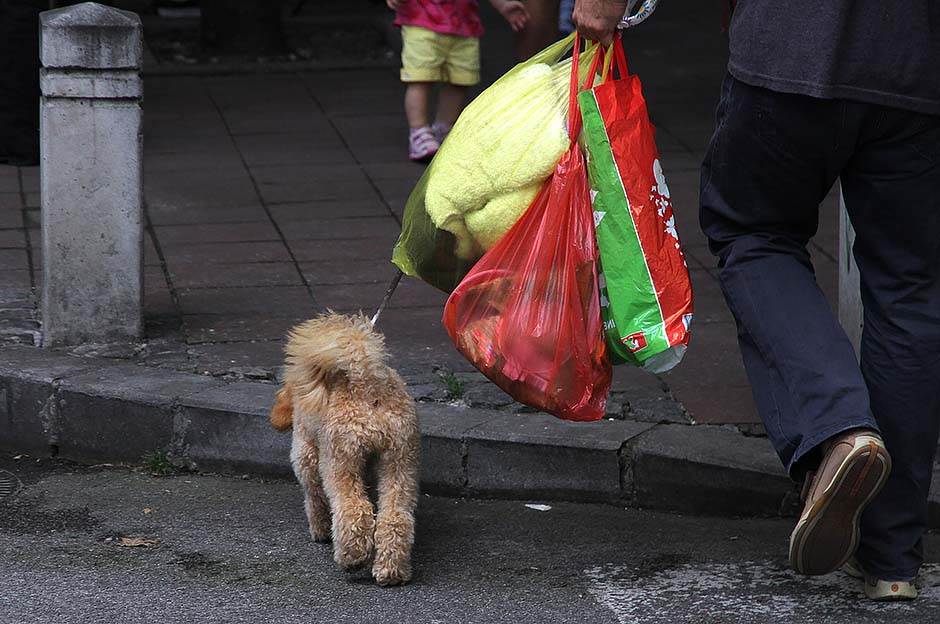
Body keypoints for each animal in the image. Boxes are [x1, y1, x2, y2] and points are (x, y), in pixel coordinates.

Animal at [270, 314, 420, 588]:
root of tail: (367, 385)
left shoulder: (306, 453)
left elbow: (314, 498)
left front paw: (319, 529)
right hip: (401, 461)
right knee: (395, 517)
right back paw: (391, 570)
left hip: (339, 459)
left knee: (353, 508)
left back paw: (352, 557)